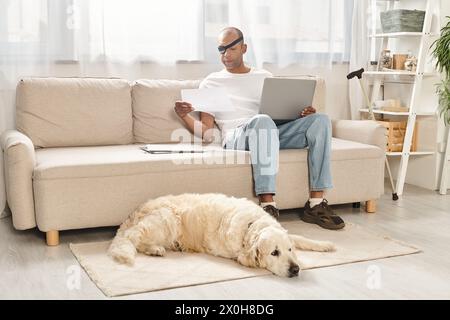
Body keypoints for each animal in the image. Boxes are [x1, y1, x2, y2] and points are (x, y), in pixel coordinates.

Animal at [109, 192, 334, 278]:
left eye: (289, 250)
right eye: (274, 253)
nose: (295, 269)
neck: (251, 225)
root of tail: (133, 213)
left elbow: (302, 238)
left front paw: (325, 245)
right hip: (167, 219)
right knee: (133, 238)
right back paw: (155, 249)